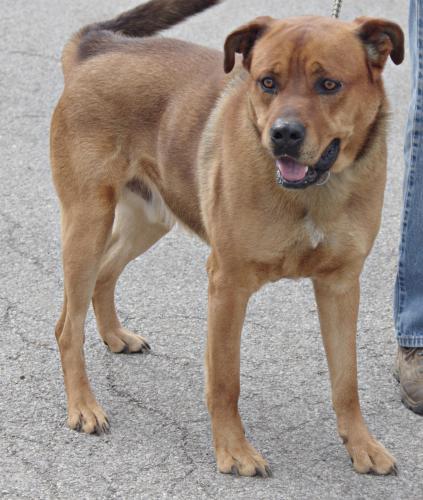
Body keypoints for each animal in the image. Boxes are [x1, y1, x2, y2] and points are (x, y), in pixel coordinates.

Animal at [51, 0, 406, 476]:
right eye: (267, 82)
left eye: (329, 84)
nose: (283, 134)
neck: (313, 192)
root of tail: (100, 46)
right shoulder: (228, 285)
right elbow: (225, 380)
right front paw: (234, 450)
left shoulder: (341, 286)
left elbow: (346, 381)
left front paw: (362, 444)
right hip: (87, 223)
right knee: (67, 327)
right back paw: (83, 406)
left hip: (149, 218)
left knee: (104, 275)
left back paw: (114, 335)